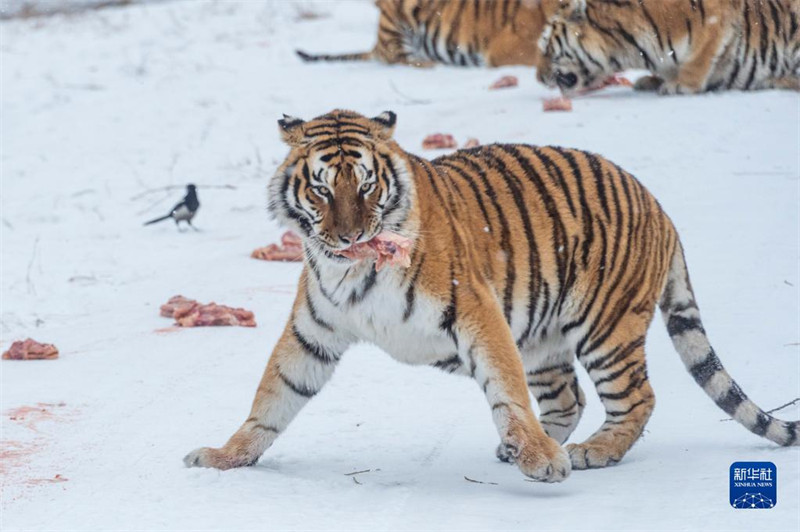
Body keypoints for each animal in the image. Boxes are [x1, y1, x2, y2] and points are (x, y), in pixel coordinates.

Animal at [183, 109, 800, 482]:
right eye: (320, 189)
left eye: (366, 185)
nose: (351, 236)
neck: (357, 271)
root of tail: (658, 205)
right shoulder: (312, 332)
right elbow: (272, 398)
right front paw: (224, 456)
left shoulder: (476, 313)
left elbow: (506, 392)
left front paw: (544, 463)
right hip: (545, 339)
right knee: (569, 398)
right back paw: (528, 448)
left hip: (606, 329)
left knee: (637, 398)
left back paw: (589, 452)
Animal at [536, 0, 800, 94]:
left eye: (546, 49)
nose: (538, 78)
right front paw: (653, 80)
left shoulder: (717, 15)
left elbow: (700, 55)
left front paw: (680, 85)